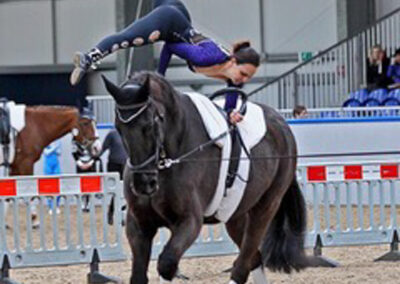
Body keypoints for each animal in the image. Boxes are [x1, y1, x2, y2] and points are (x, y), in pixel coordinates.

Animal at [101, 72, 308, 284]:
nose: (144, 184)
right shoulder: (139, 224)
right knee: (254, 258)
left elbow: (167, 263)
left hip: (265, 207)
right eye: (118, 127)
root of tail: (282, 125)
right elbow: (138, 275)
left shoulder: (189, 221)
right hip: (235, 214)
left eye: (150, 124)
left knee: (244, 262)